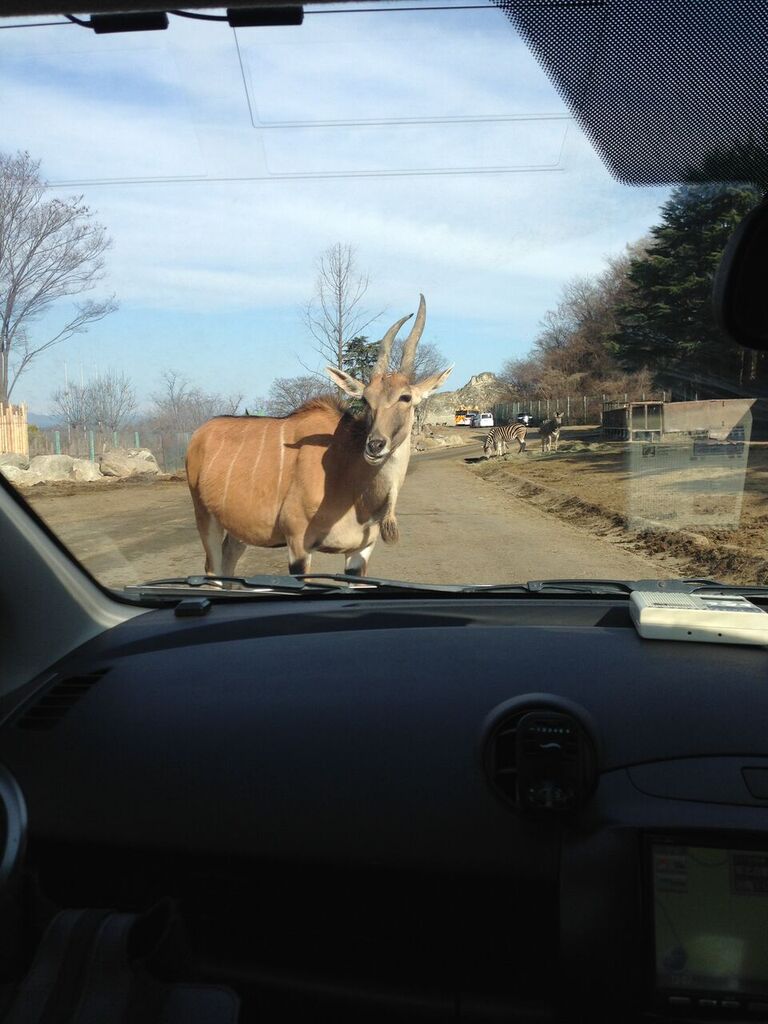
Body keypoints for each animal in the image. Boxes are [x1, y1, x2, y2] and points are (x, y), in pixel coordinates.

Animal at [185, 299, 450, 581]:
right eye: (366, 399)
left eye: (405, 397)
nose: (375, 446)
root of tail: (199, 434)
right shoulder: (298, 545)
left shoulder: (360, 551)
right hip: (205, 518)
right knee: (212, 568)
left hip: (240, 530)